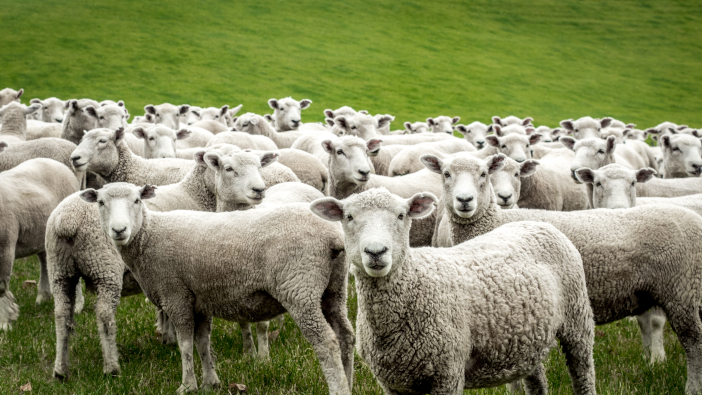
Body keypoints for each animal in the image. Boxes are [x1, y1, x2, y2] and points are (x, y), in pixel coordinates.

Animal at [0, 159, 80, 332]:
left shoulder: (5, 246)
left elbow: (1, 287)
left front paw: (4, 322)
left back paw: (76, 306)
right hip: (42, 236)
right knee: (44, 262)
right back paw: (43, 297)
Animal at [82, 184, 354, 394]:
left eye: (137, 200)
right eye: (101, 202)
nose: (119, 231)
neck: (148, 236)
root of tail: (333, 236)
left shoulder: (176, 295)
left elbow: (184, 344)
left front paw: (187, 385)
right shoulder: (199, 300)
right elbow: (202, 342)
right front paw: (210, 382)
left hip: (299, 287)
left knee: (326, 342)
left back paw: (338, 388)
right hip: (334, 289)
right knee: (346, 336)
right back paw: (349, 382)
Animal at [310, 188, 596, 395]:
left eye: (402, 215)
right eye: (348, 217)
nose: (376, 252)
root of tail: (536, 224)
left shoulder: (447, 374)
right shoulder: (393, 384)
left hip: (577, 322)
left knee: (583, 374)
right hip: (528, 338)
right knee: (536, 380)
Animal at [424, 152, 702, 392]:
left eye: (483, 174)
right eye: (446, 174)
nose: (465, 200)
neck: (493, 222)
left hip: (682, 290)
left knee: (693, 342)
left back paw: (691, 386)